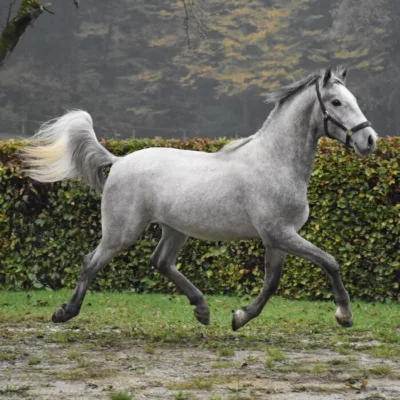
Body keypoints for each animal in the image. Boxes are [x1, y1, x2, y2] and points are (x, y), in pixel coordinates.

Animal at [22, 67, 378, 332]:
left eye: (352, 99)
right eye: (336, 102)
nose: (369, 140)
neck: (275, 161)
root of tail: (119, 161)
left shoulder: (277, 238)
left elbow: (272, 282)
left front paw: (239, 318)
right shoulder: (280, 234)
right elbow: (329, 262)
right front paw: (344, 315)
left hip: (175, 229)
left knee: (161, 262)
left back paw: (202, 309)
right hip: (122, 231)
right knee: (91, 262)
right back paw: (65, 312)